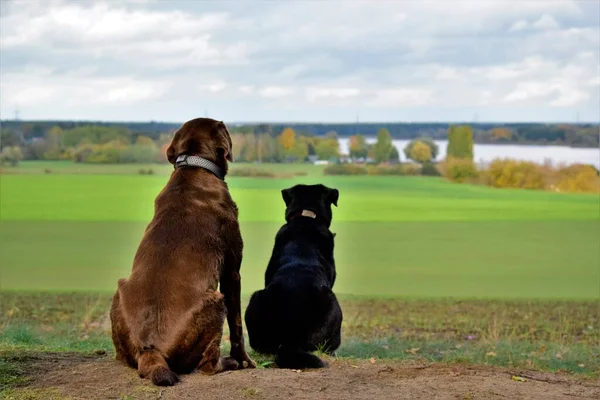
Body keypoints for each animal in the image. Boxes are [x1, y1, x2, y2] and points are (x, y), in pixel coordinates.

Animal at [109, 118, 254, 384]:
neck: (194, 165)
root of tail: (150, 350)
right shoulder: (232, 272)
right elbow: (237, 324)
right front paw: (246, 361)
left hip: (119, 290)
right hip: (215, 301)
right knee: (208, 365)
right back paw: (230, 363)